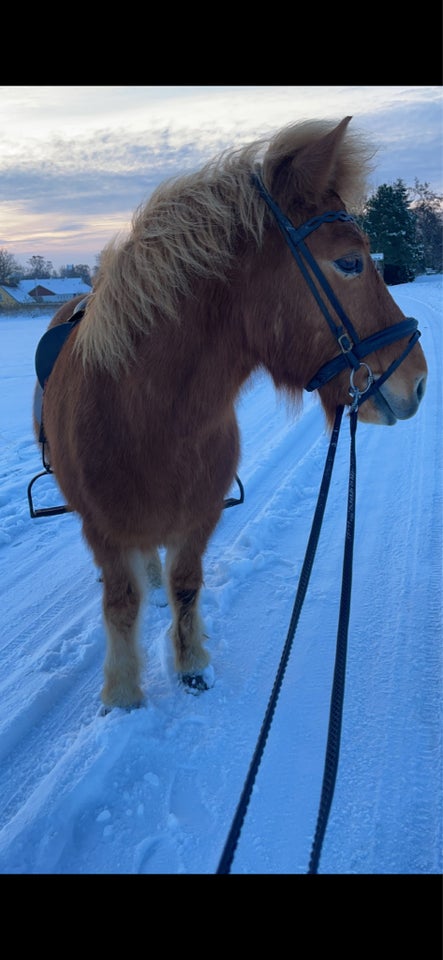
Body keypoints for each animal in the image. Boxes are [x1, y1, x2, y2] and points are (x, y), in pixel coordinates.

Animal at [31, 116, 426, 708]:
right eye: (350, 262)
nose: (418, 381)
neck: (149, 418)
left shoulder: (201, 515)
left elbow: (185, 586)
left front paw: (192, 666)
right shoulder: (102, 531)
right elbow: (121, 603)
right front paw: (123, 694)